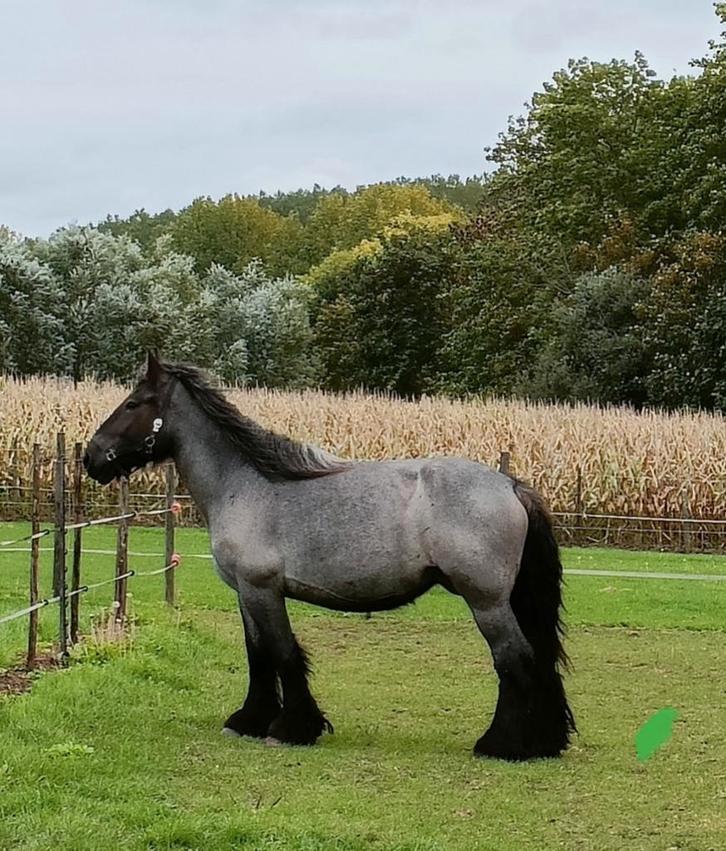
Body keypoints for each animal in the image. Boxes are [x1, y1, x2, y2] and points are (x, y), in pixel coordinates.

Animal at [84, 353, 575, 761]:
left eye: (133, 403)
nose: (91, 456)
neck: (246, 486)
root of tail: (510, 485)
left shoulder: (263, 589)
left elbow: (283, 653)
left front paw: (292, 728)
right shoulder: (245, 593)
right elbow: (258, 654)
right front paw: (249, 720)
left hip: (486, 602)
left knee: (514, 660)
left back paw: (501, 745)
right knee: (537, 659)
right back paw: (545, 741)